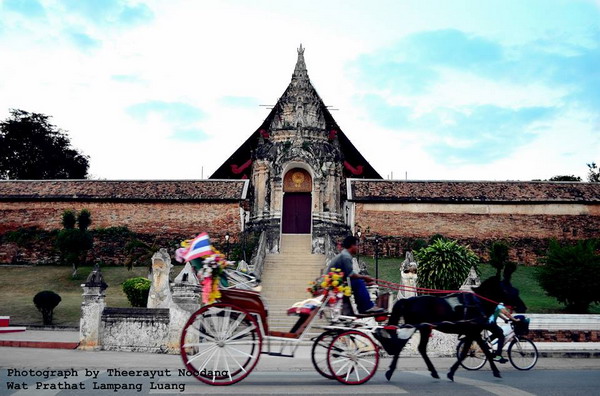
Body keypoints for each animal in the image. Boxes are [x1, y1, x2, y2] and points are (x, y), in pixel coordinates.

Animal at [384, 276, 524, 380]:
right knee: (404, 346)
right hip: (417, 327)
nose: (523, 306)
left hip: (422, 328)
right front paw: (451, 372)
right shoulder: (473, 332)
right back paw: (391, 372)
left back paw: (431, 371)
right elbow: (471, 351)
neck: (478, 303)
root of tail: (408, 300)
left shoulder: (474, 333)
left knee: (419, 348)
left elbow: (477, 350)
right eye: (508, 291)